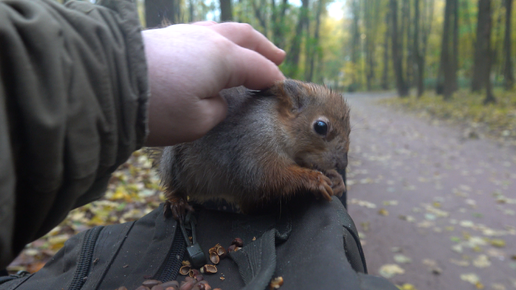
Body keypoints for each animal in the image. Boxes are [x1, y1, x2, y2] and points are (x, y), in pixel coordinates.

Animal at [159, 79, 348, 218]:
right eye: (321, 126)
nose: (343, 164)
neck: (275, 124)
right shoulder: (252, 146)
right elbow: (268, 176)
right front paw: (315, 179)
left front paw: (336, 178)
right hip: (174, 162)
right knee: (173, 184)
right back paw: (177, 201)